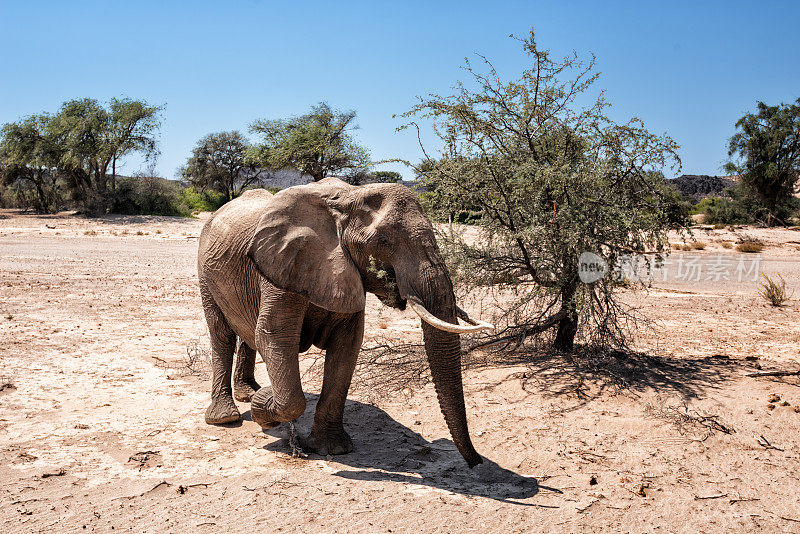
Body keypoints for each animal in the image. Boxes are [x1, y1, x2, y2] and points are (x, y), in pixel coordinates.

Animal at [197, 178, 490, 466]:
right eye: (383, 240)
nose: (476, 461)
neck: (349, 197)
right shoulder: (282, 266)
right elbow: (274, 336)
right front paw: (265, 407)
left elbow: (347, 345)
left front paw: (332, 449)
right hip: (205, 271)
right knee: (221, 334)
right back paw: (226, 417)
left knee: (246, 332)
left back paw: (248, 394)